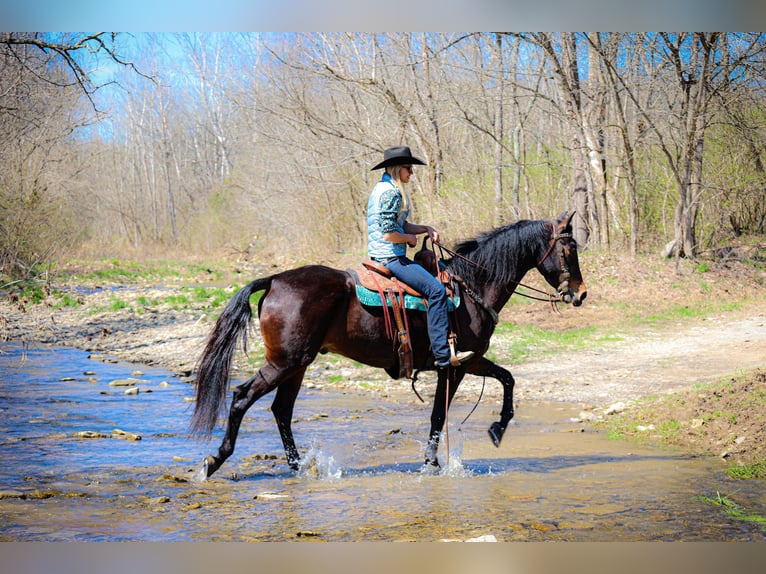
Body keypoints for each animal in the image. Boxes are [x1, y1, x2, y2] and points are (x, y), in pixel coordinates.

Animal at [190, 214, 588, 480]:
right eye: (568, 249)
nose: (580, 294)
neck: (471, 286)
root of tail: (274, 280)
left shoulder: (470, 361)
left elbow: (506, 379)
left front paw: (495, 430)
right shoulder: (457, 364)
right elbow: (442, 413)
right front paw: (438, 460)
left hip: (297, 365)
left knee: (281, 411)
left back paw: (299, 466)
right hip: (284, 363)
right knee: (242, 397)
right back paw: (215, 460)